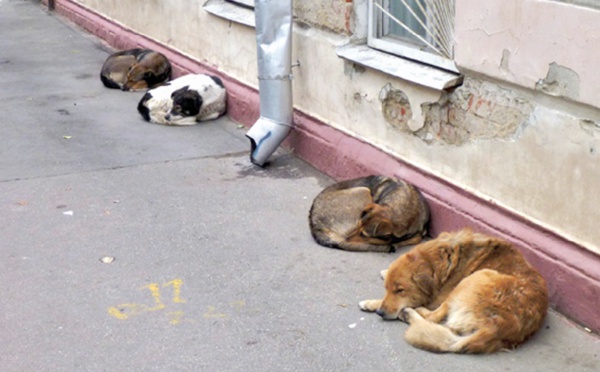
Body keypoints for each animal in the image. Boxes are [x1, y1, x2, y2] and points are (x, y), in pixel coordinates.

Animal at [358, 228, 552, 354]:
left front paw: (372, 303)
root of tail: (495, 327)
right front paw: (385, 274)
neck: (443, 260)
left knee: (433, 318)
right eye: (387, 289)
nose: (380, 312)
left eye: (400, 291)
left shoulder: (436, 298)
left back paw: (409, 312)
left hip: (476, 277)